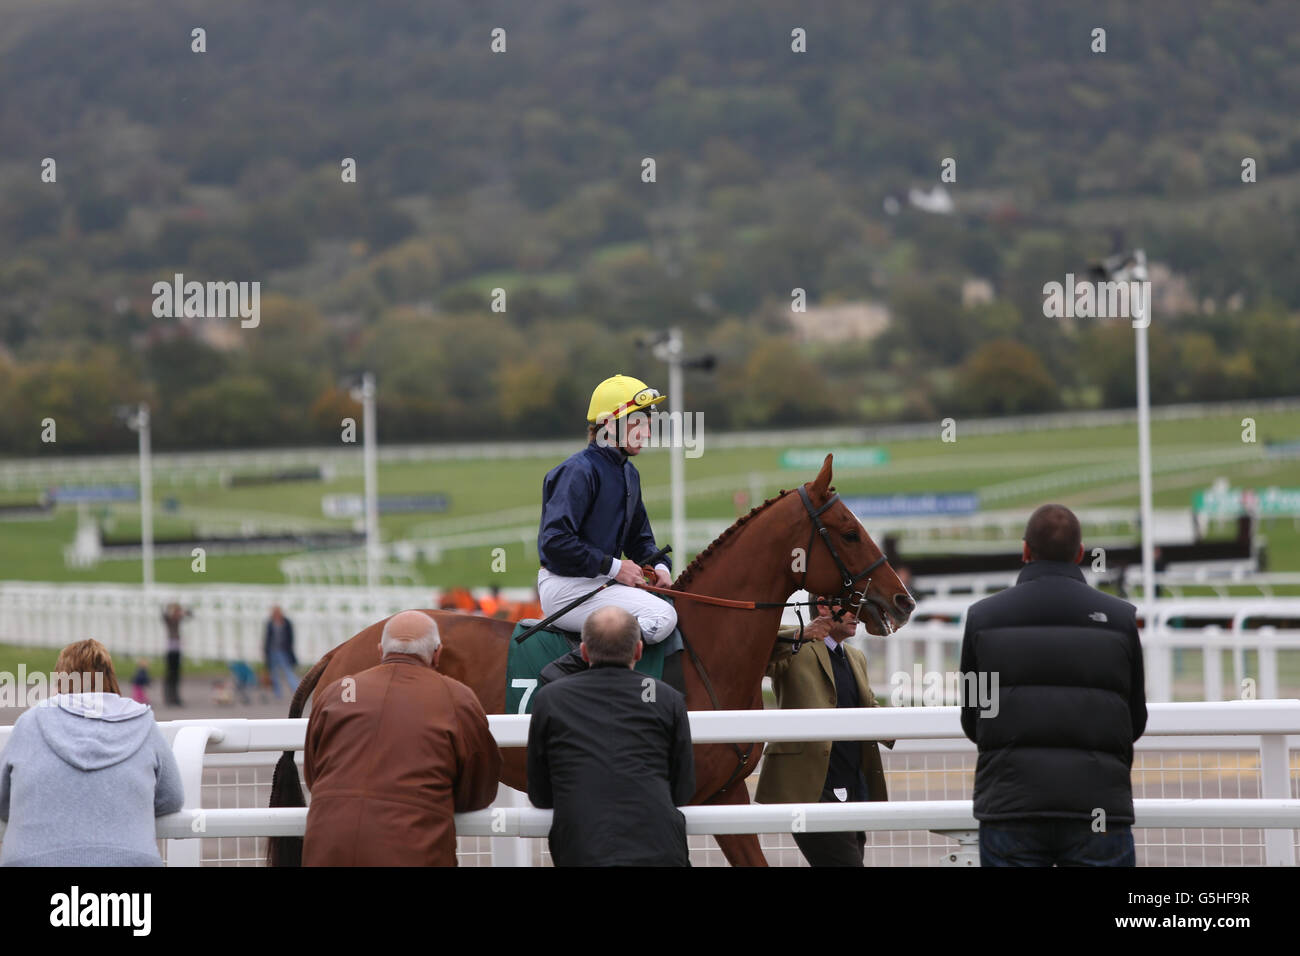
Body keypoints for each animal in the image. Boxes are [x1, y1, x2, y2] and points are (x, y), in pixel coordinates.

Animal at [266, 455, 915, 868]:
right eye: (848, 531)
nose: (902, 601)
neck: (707, 648)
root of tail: (337, 652)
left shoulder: (723, 798)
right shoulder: (689, 798)